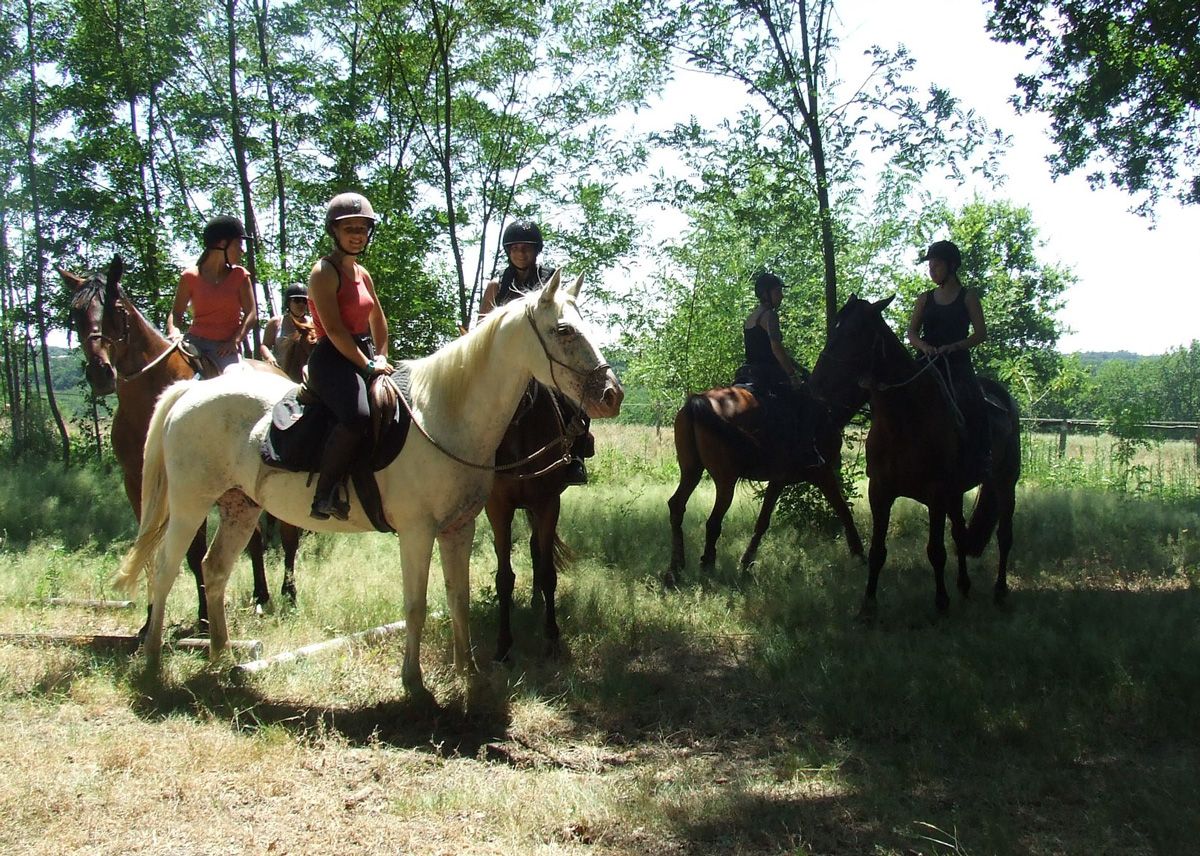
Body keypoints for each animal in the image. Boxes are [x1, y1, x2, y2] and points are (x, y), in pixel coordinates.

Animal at [60, 255, 300, 629]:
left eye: (117, 308)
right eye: (76, 312)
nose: (100, 372)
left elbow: (193, 549)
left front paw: (203, 619)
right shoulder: (137, 484)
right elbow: (150, 547)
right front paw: (149, 622)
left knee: (288, 536)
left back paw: (288, 594)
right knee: (255, 540)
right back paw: (261, 596)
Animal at [487, 381, 590, 662]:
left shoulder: (547, 504)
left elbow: (547, 572)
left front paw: (552, 637)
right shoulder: (497, 507)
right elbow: (504, 576)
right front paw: (503, 645)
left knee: (536, 550)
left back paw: (536, 601)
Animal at [667, 381, 864, 588]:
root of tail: (698, 400)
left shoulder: (778, 481)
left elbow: (762, 522)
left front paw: (746, 564)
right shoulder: (823, 473)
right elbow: (844, 511)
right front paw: (859, 556)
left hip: (691, 472)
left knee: (677, 506)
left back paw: (675, 570)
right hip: (725, 481)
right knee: (713, 521)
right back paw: (707, 568)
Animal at [811, 297, 1017, 619]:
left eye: (854, 334)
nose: (815, 388)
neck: (905, 419)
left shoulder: (936, 494)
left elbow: (935, 551)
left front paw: (941, 603)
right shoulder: (880, 492)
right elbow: (877, 551)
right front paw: (868, 605)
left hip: (1005, 482)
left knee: (1004, 536)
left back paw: (999, 590)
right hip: (956, 493)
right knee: (960, 533)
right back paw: (964, 586)